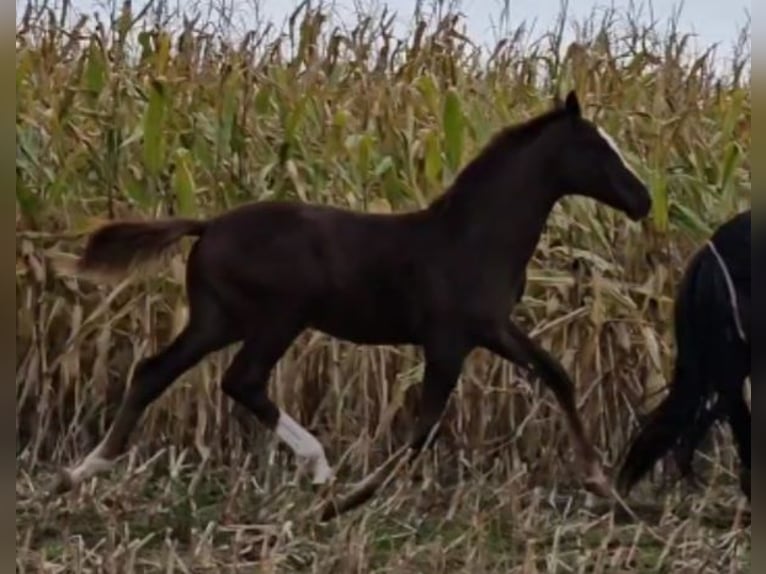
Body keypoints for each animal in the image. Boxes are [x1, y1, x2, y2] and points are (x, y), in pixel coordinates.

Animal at [55, 92, 656, 520]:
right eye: (599, 149)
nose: (645, 200)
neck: (472, 237)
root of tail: (207, 226)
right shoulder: (448, 342)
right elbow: (422, 428)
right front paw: (349, 501)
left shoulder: (492, 329)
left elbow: (557, 376)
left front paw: (602, 483)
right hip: (276, 320)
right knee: (241, 381)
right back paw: (319, 469)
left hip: (217, 320)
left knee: (153, 372)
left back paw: (83, 470)